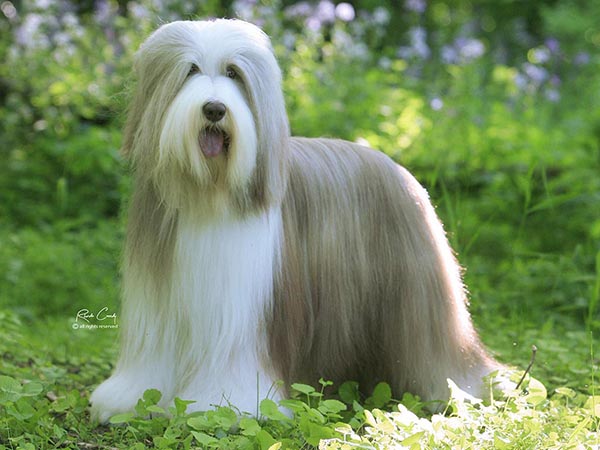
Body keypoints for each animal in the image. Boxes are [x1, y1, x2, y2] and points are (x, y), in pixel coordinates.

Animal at [90, 18, 502, 422]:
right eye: (190, 69)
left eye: (234, 72)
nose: (214, 109)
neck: (207, 193)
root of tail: (398, 168)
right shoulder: (159, 310)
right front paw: (126, 401)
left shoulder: (240, 318)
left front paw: (223, 407)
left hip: (419, 302)